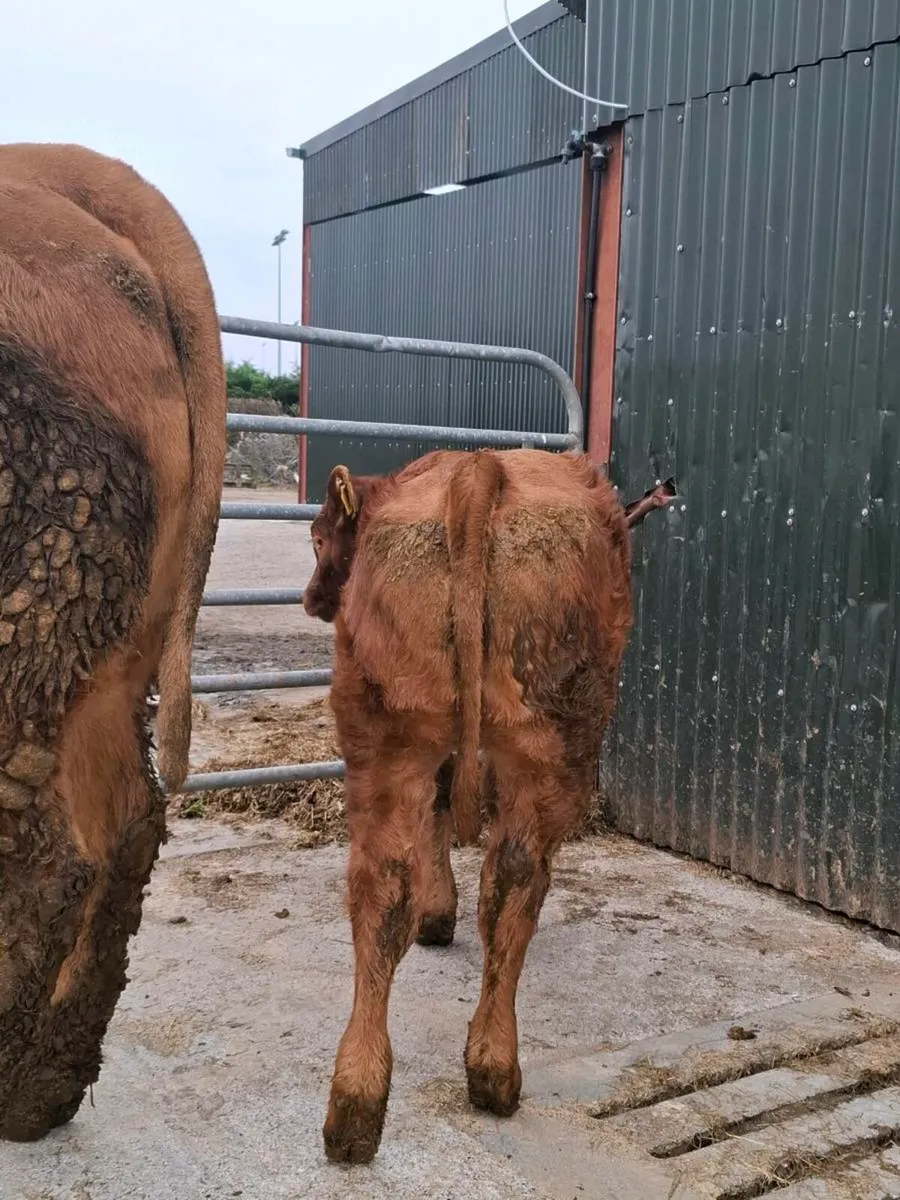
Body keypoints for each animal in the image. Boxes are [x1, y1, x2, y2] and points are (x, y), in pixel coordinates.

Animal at [303, 448, 674, 1163]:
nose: (311, 597)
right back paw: (494, 1073)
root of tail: (479, 468)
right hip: (556, 746)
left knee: (382, 887)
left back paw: (357, 1103)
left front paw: (434, 911)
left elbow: (441, 810)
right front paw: (439, 914)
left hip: (387, 736)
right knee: (515, 885)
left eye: (316, 537)